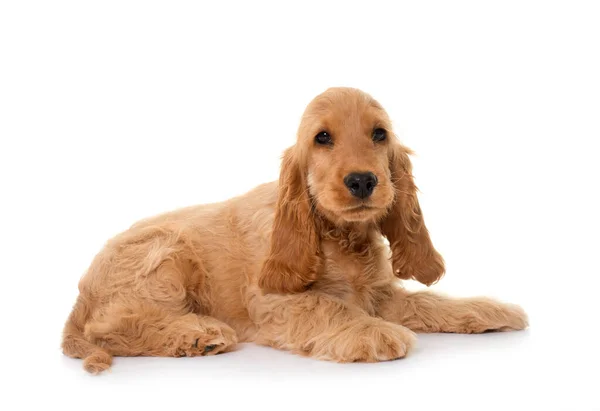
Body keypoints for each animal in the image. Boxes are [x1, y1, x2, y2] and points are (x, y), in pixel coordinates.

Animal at [63, 88, 528, 374]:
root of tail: (83, 292)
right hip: (165, 255)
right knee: (110, 327)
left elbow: (429, 302)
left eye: (379, 134)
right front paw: (373, 333)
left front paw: (488, 310)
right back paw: (198, 335)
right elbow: (329, 306)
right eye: (322, 138)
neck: (341, 236)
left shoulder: (378, 294)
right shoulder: (271, 301)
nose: (363, 181)